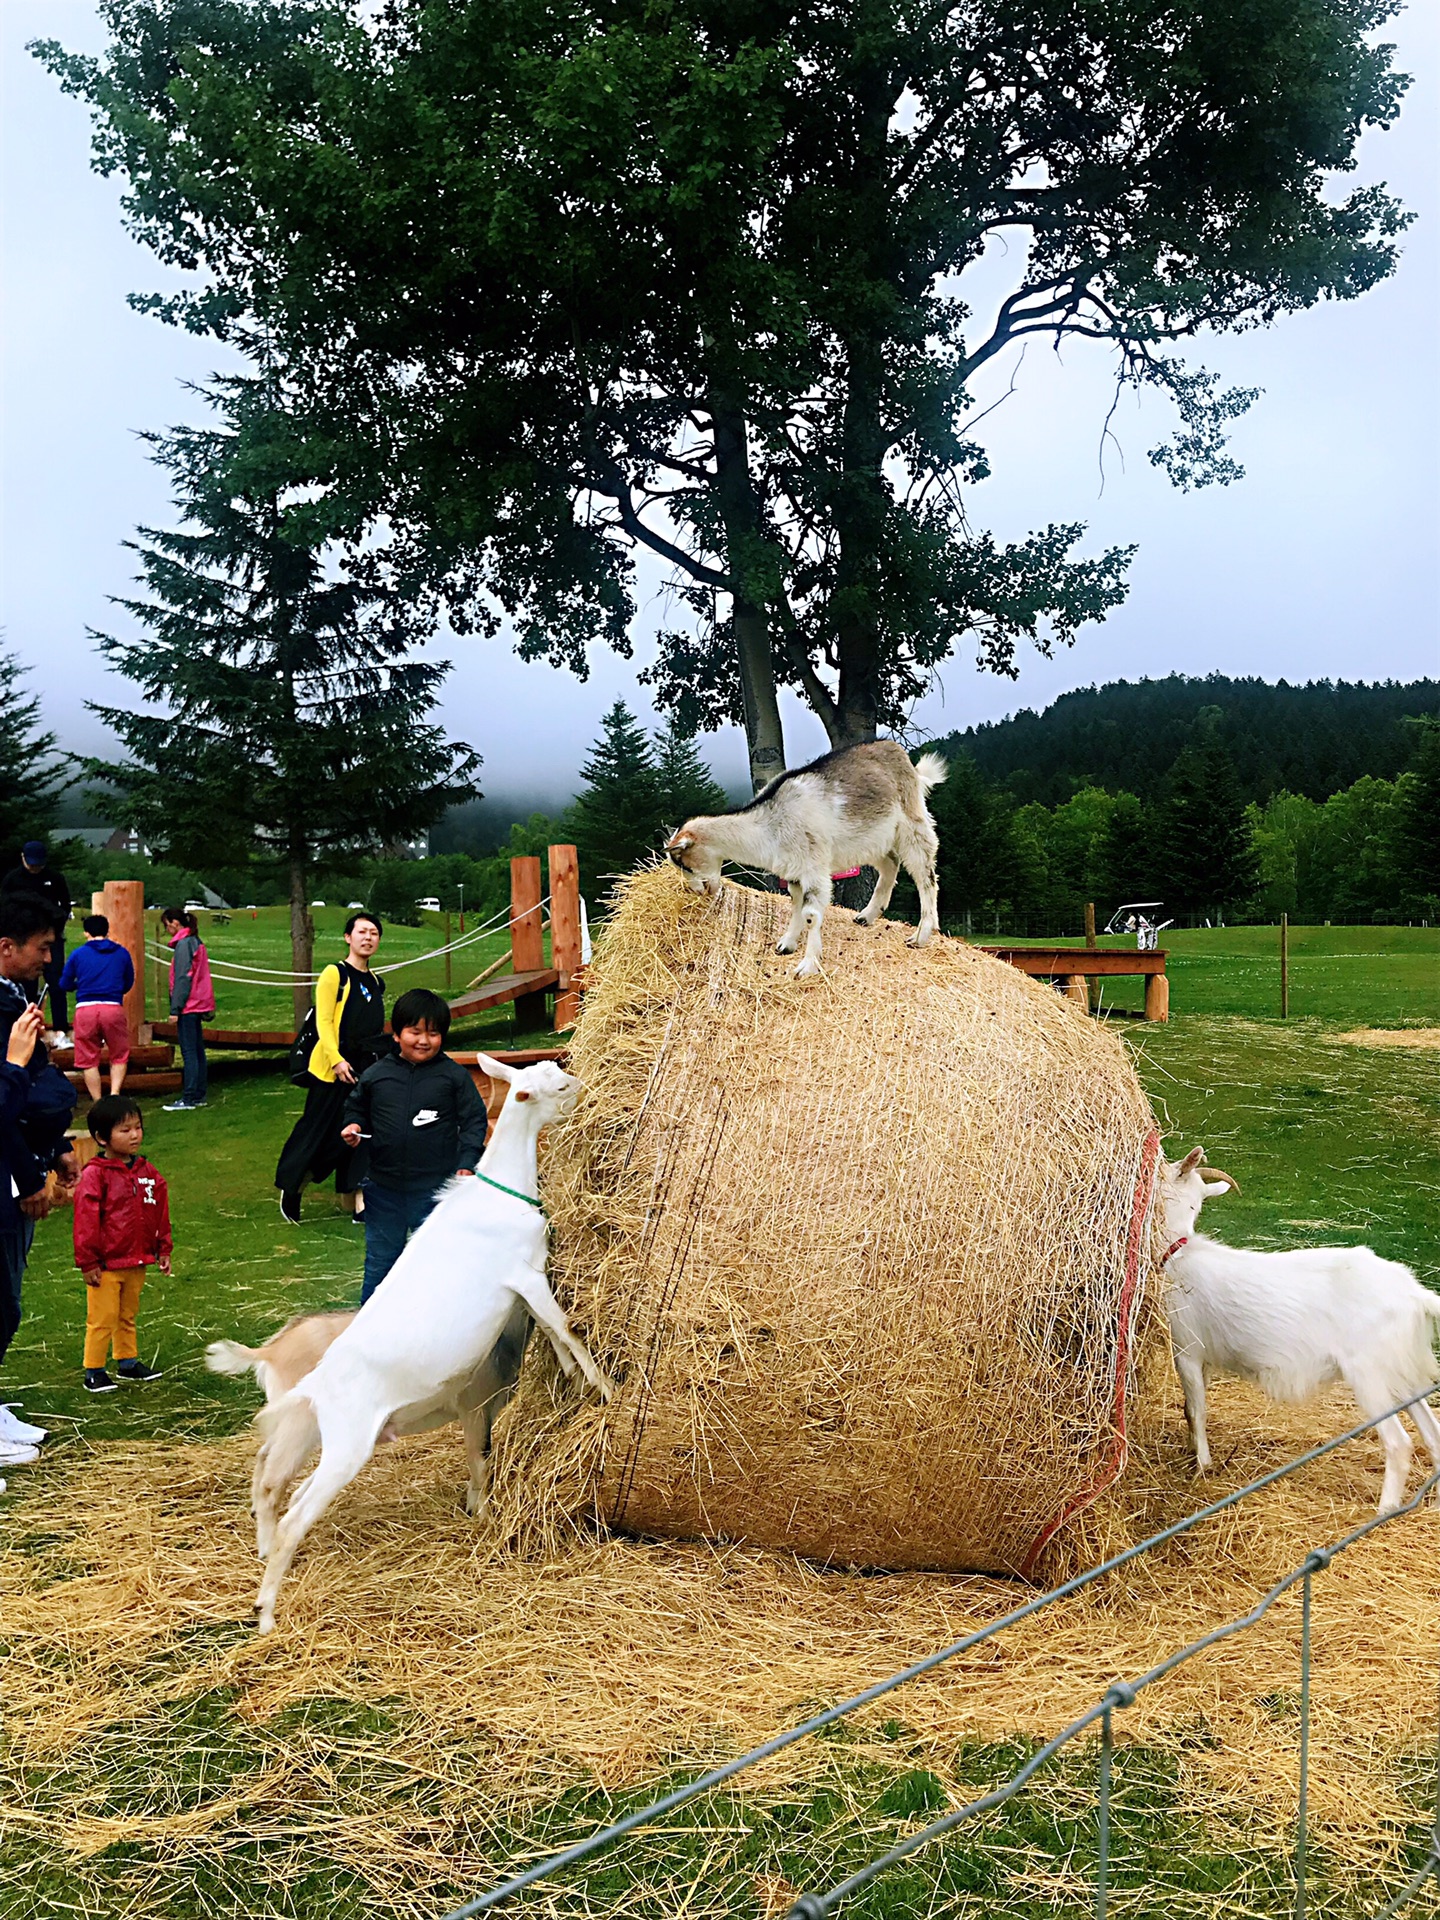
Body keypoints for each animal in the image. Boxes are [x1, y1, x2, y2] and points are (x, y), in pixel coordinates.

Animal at [249, 1059, 610, 1628]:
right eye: (557, 1085)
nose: (586, 1087)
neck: (500, 1194)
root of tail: (313, 1384)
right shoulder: (524, 1275)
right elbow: (566, 1326)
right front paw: (606, 1385)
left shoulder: (523, 1292)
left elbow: (552, 1331)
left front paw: (575, 1377)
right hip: (346, 1446)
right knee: (290, 1516)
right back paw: (266, 1614)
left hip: (328, 1441)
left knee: (290, 1494)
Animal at [664, 733, 948, 975]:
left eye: (685, 865)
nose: (698, 891)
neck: (769, 825)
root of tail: (905, 760)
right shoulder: (794, 871)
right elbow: (796, 906)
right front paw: (786, 945)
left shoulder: (814, 869)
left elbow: (811, 915)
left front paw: (808, 965)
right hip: (872, 839)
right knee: (890, 864)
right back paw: (867, 916)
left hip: (913, 825)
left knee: (925, 876)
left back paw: (921, 935)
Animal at [1159, 1144, 1440, 1505]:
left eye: (1167, 1168)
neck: (1180, 1253)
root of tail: (1416, 1294)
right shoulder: (1206, 1357)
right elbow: (1189, 1408)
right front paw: (1191, 1449)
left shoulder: (1187, 1347)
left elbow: (1197, 1408)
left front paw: (1202, 1467)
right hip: (1405, 1372)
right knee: (1432, 1434)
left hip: (1370, 1374)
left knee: (1398, 1442)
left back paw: (1383, 1510)